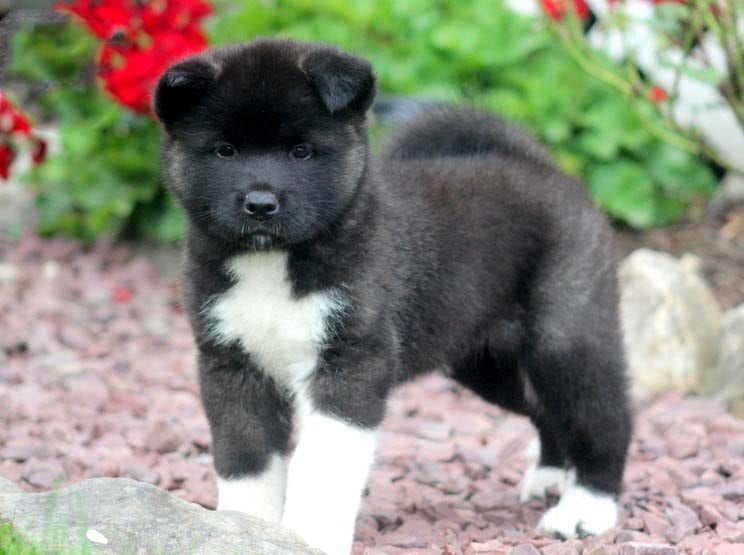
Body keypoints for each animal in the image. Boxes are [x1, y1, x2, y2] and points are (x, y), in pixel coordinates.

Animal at [154, 37, 632, 552]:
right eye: (224, 150)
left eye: (301, 151)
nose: (260, 204)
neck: (274, 262)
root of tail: (538, 163)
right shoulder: (231, 365)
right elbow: (246, 460)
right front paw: (241, 530)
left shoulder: (350, 363)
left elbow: (323, 464)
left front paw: (310, 536)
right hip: (483, 363)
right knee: (544, 409)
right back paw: (550, 476)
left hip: (564, 337)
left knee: (602, 417)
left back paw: (586, 508)